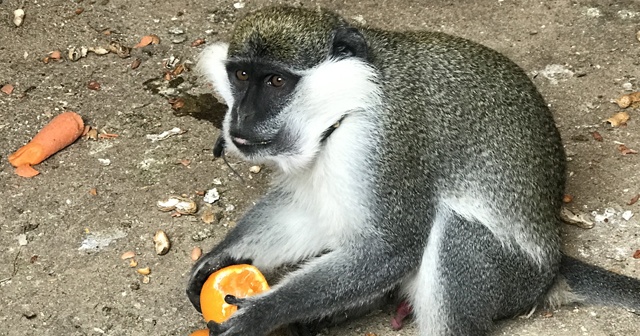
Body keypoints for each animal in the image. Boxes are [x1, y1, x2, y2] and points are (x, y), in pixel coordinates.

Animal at [185, 5, 640, 336]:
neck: (347, 105)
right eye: (242, 74)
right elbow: (311, 212)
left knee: (457, 231)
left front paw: (261, 314)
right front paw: (222, 256)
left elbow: (390, 248)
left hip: (511, 279)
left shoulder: (386, 145)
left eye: (276, 82)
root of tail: (551, 269)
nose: (240, 120)